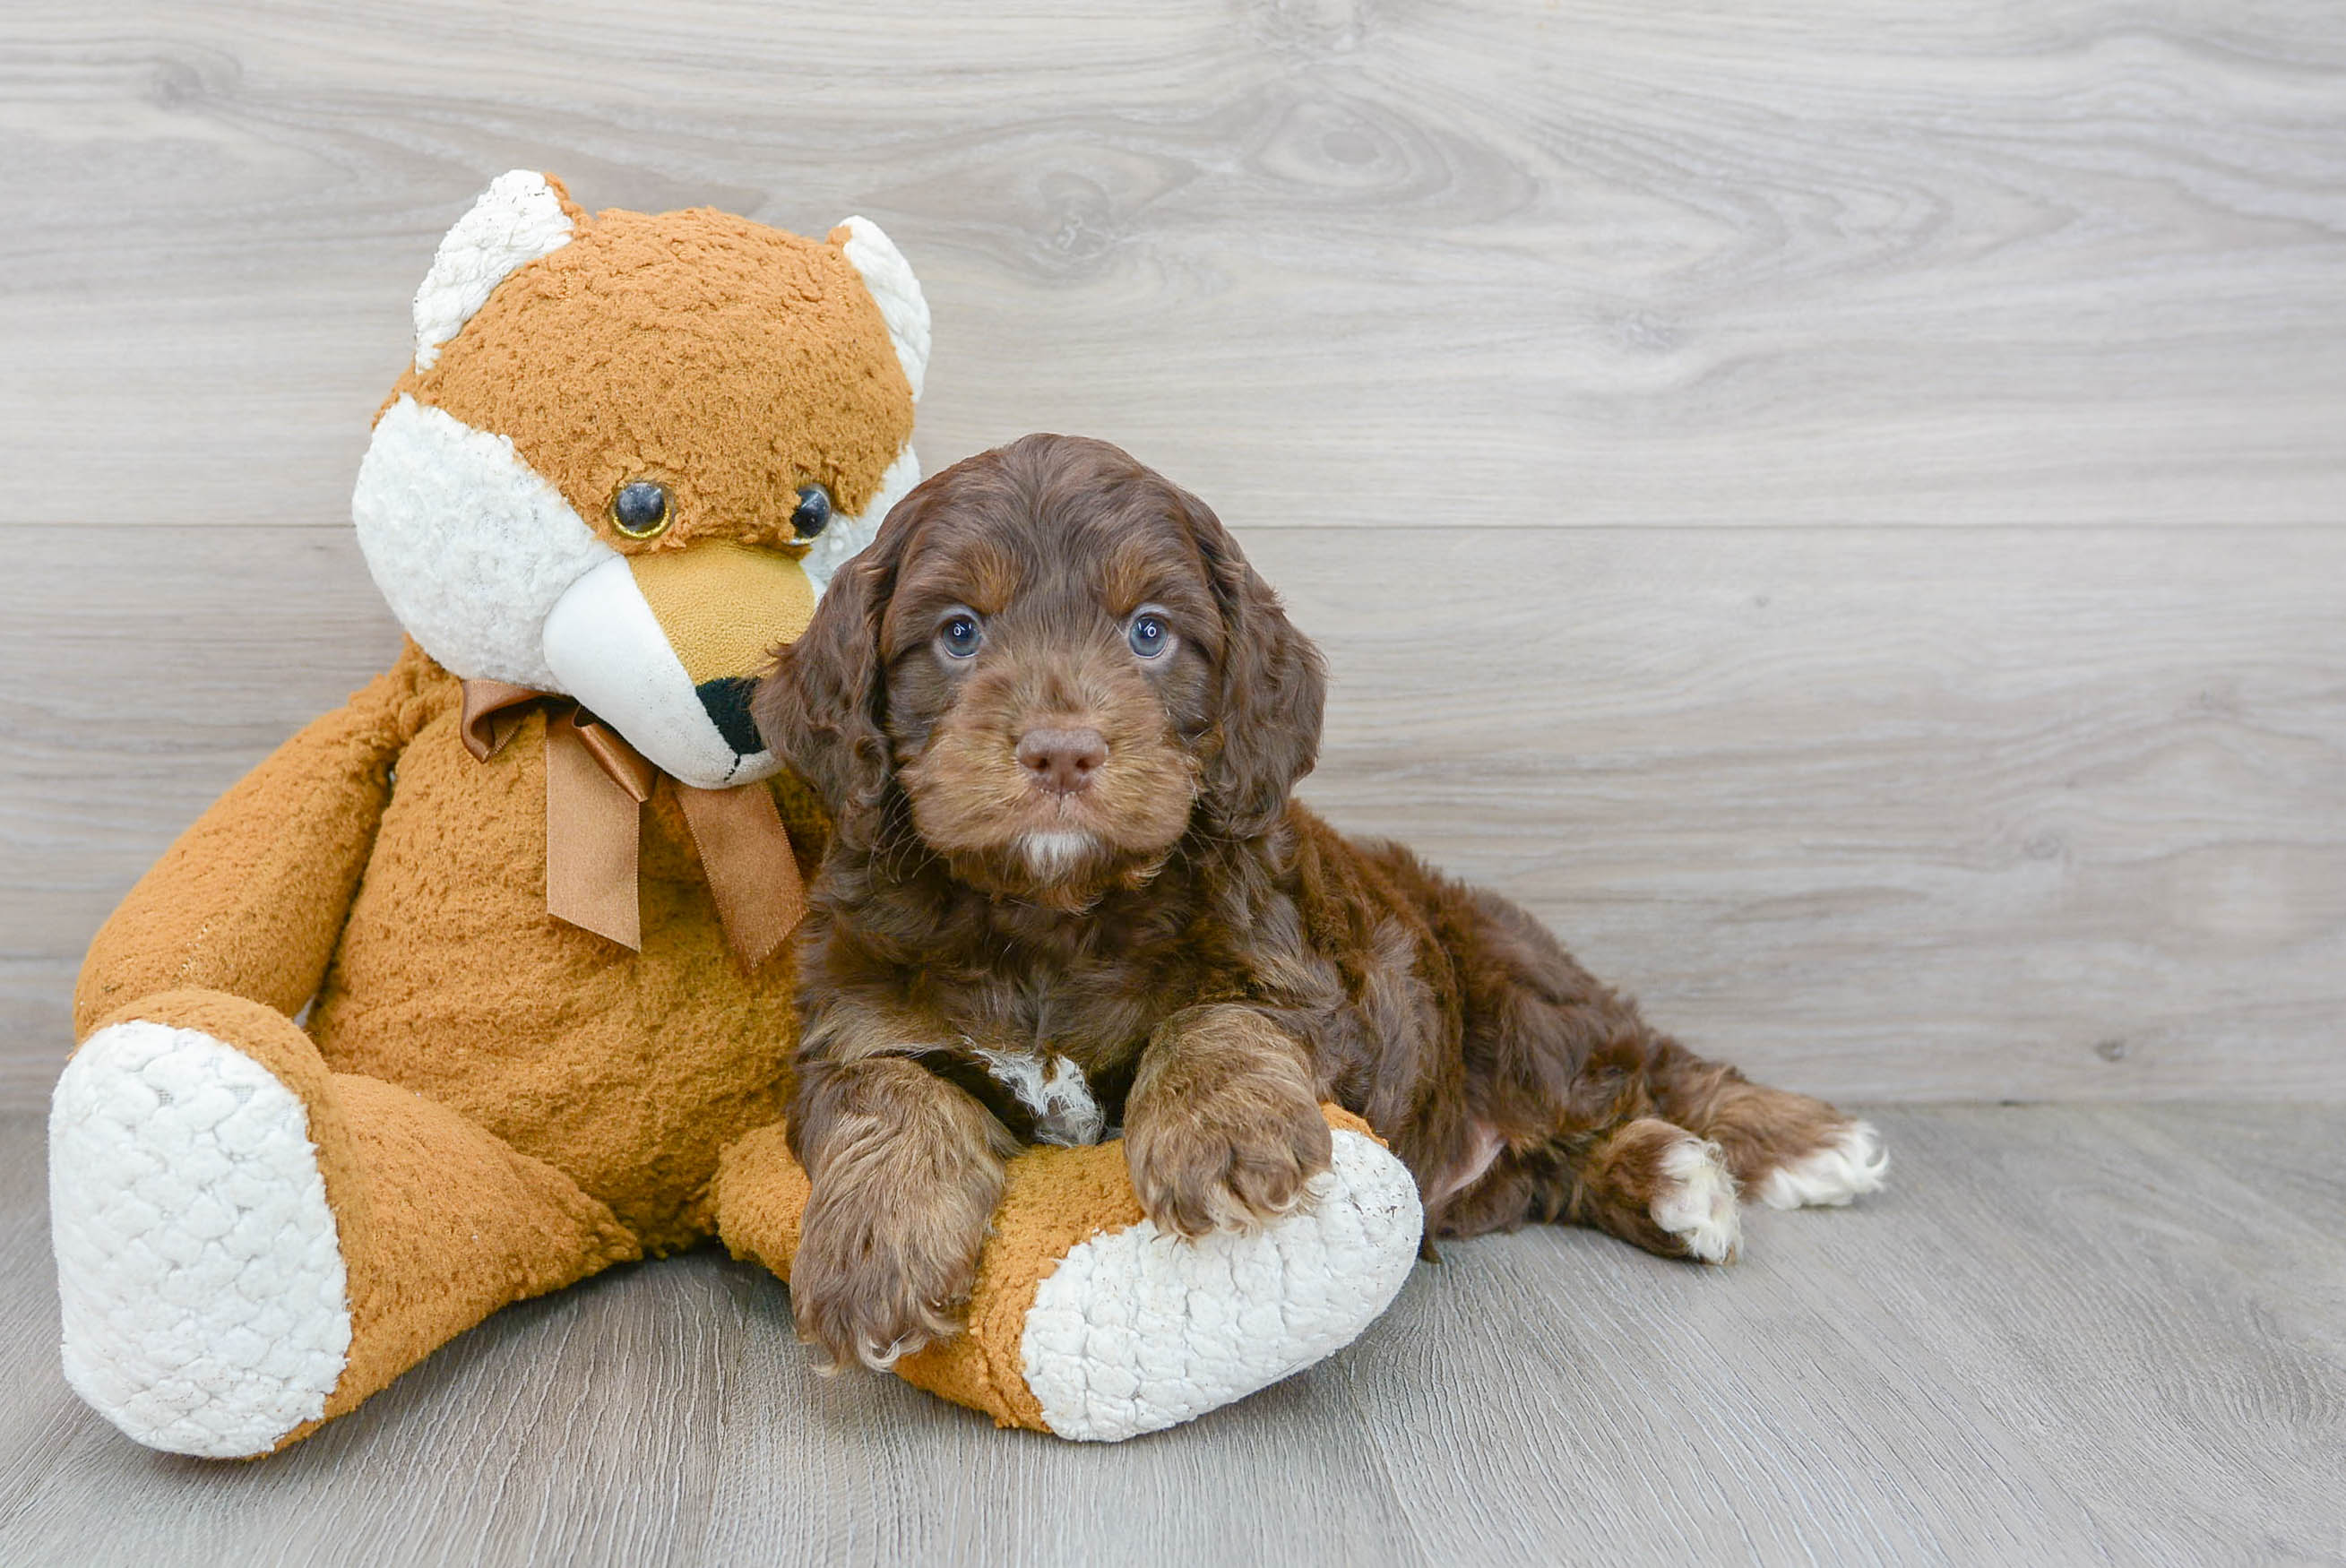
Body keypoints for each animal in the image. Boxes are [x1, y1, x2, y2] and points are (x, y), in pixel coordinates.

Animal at [755, 432, 1885, 1370]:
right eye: (957, 632)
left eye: (1149, 633)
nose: (1061, 751)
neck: (1048, 911)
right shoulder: (854, 1016)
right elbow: (885, 1093)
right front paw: (872, 1255)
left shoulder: (1305, 983)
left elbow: (1216, 1013)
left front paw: (1223, 1137)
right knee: (1557, 1160)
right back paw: (1667, 1180)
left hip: (1514, 987)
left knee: (1647, 1061)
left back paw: (1793, 1144)